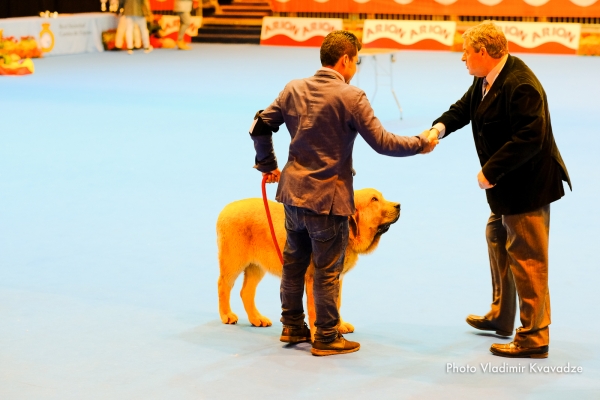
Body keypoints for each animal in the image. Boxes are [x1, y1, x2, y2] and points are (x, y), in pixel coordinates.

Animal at [214, 189, 398, 340]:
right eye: (374, 199)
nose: (399, 205)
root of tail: (226, 209)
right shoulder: (314, 277)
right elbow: (316, 308)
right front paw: (319, 335)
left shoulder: (336, 278)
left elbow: (335, 304)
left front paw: (339, 325)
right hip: (233, 261)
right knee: (223, 284)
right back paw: (227, 315)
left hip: (256, 267)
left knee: (246, 292)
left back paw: (256, 319)